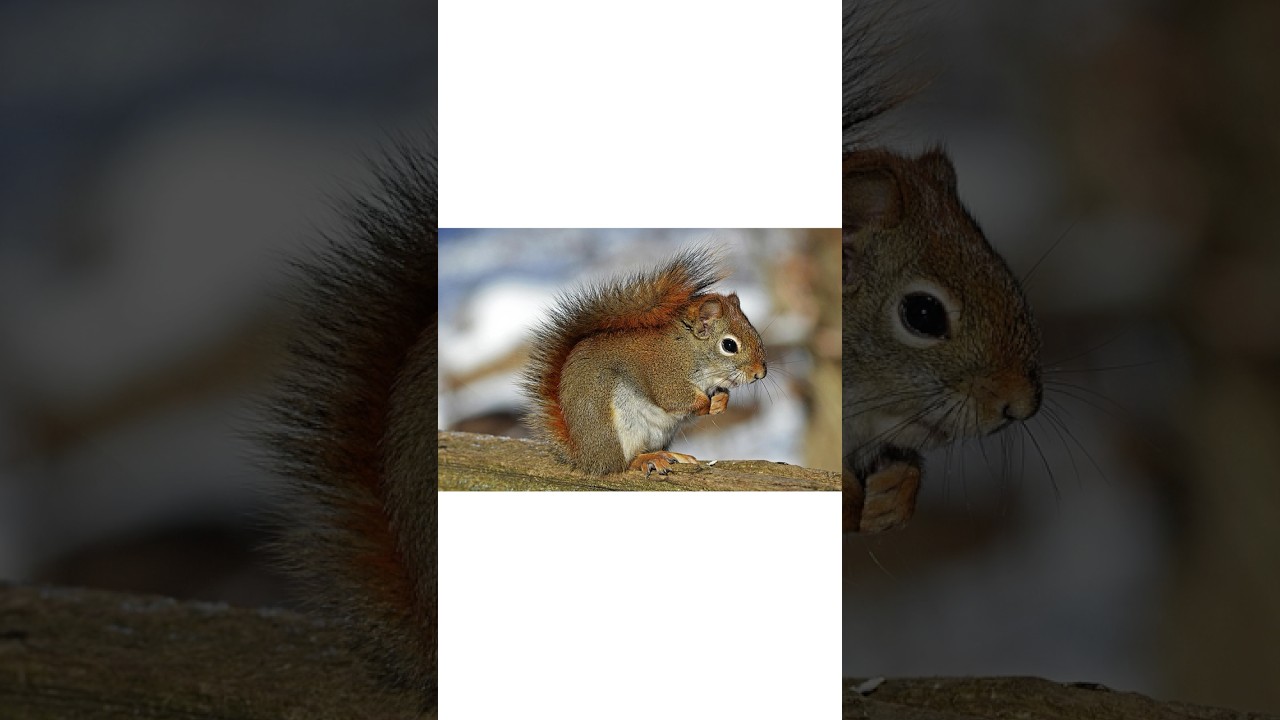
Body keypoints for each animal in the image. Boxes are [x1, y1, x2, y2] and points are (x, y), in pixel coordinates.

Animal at [521, 246, 768, 477]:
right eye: (729, 345)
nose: (760, 373)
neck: (689, 350)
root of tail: (585, 457)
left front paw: (721, 401)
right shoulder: (665, 372)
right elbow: (674, 398)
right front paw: (706, 404)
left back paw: (671, 455)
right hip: (616, 428)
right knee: (623, 463)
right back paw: (648, 459)